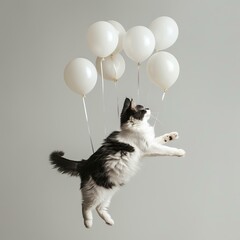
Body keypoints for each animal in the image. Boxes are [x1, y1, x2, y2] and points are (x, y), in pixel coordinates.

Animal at [49, 98, 186, 229]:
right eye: (142, 109)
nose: (148, 108)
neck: (132, 127)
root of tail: (84, 163)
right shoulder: (148, 147)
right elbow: (166, 150)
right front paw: (180, 151)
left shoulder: (148, 146)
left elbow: (161, 139)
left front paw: (172, 135)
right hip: (94, 191)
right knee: (86, 206)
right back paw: (88, 224)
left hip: (108, 189)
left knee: (99, 208)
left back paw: (109, 221)